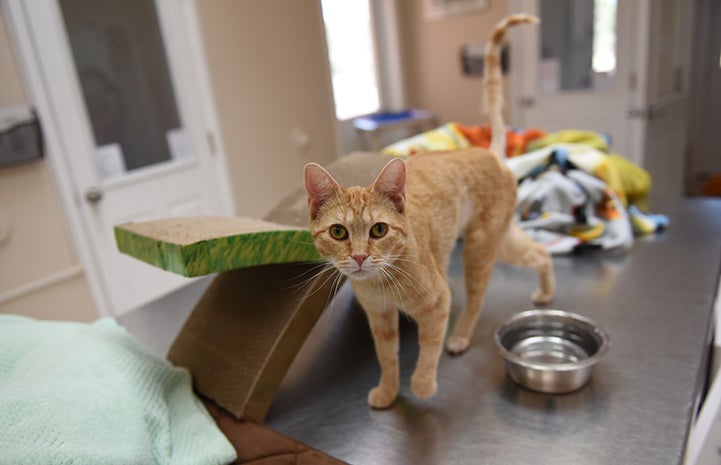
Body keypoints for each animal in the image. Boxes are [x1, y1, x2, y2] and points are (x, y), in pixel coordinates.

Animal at [304, 13, 552, 406]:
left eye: (378, 230)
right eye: (338, 232)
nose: (359, 257)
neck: (381, 282)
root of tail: (491, 154)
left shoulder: (437, 304)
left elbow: (427, 352)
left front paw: (422, 386)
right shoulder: (380, 319)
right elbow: (387, 358)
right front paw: (389, 392)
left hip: (480, 250)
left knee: (477, 300)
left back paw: (461, 337)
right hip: (503, 239)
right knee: (542, 253)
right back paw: (546, 291)